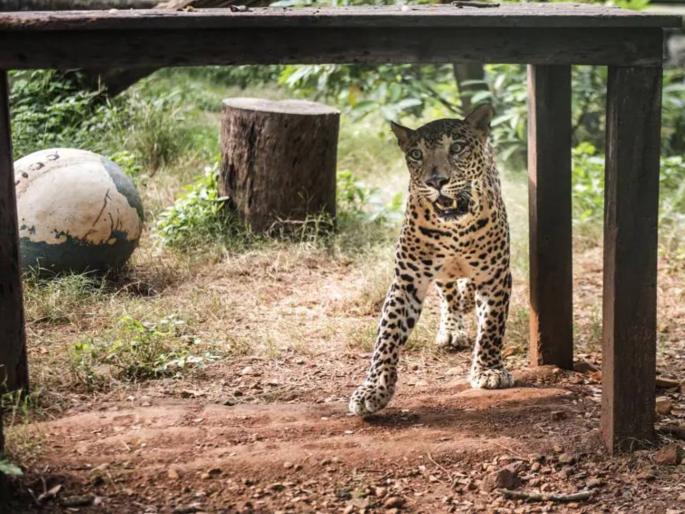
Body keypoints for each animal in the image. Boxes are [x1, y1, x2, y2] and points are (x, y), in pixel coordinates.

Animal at [349, 103, 514, 417]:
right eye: (416, 154)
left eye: (457, 147)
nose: (436, 182)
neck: (455, 229)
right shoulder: (406, 281)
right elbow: (386, 337)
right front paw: (373, 389)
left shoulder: (495, 277)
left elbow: (491, 327)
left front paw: (489, 371)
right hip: (442, 276)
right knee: (449, 295)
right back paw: (451, 328)